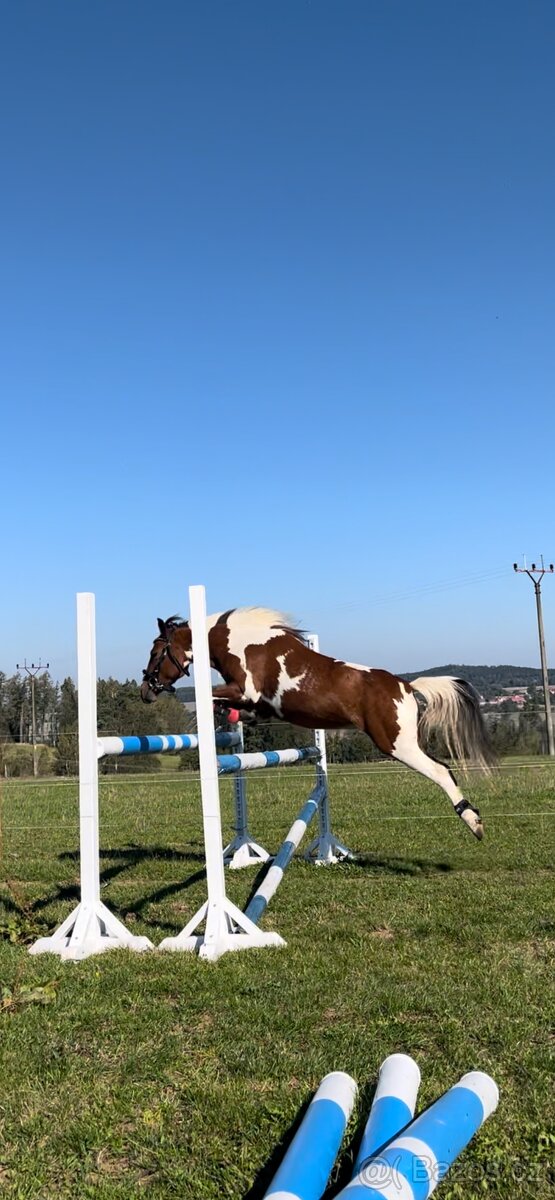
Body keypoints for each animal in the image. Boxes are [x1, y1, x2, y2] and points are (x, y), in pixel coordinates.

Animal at [140, 606, 495, 839]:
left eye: (156, 652)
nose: (145, 692)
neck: (232, 639)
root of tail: (406, 687)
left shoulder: (246, 689)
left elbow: (210, 697)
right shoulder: (252, 698)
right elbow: (234, 707)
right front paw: (235, 719)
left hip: (397, 744)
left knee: (441, 770)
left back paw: (474, 822)